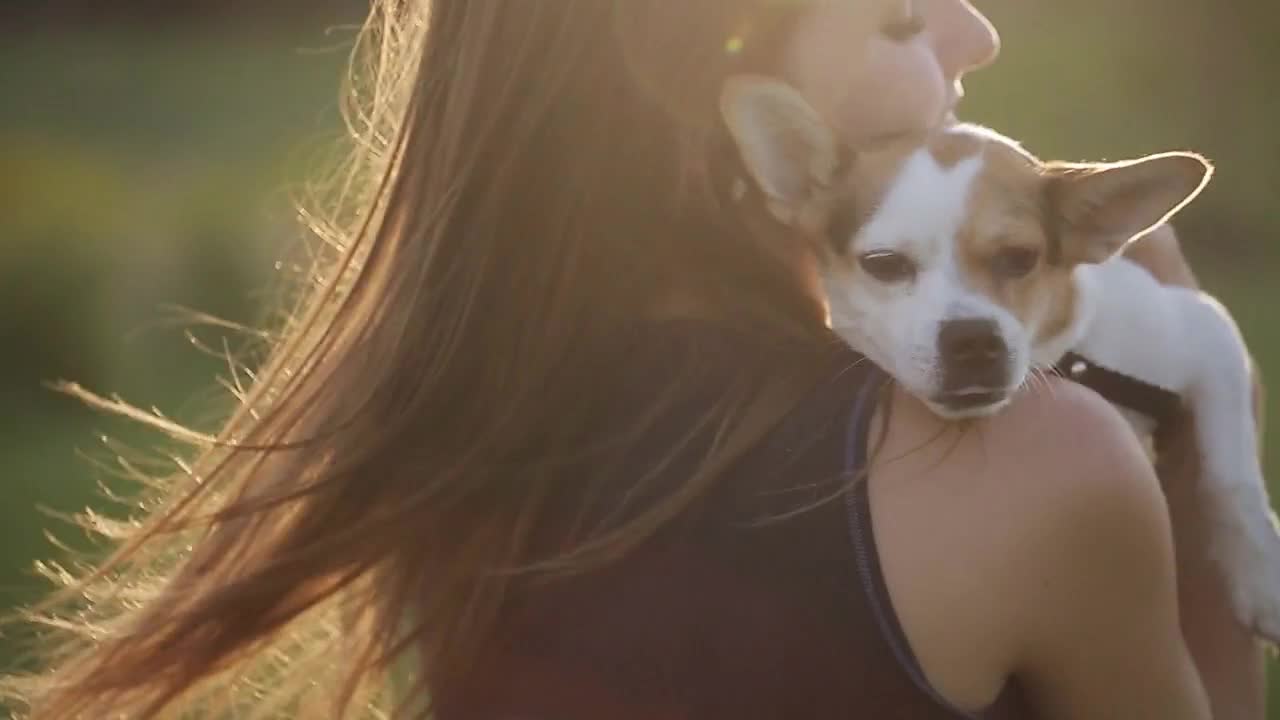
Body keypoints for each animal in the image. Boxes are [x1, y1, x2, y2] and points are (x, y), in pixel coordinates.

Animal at [721, 75, 1280, 638]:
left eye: (1019, 258)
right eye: (884, 264)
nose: (972, 339)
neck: (1072, 360)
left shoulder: (1203, 329)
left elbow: (1230, 474)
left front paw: (1260, 574)